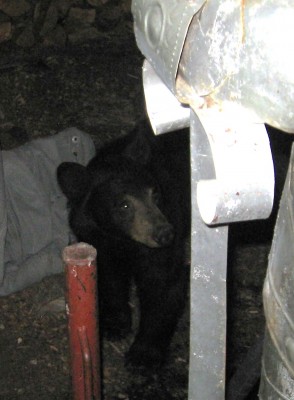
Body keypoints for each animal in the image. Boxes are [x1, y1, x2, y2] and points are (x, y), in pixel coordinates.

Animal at [57, 120, 191, 368]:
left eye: (155, 194)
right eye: (124, 205)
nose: (164, 234)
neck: (122, 239)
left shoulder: (168, 227)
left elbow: (163, 282)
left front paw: (143, 355)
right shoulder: (95, 238)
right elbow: (109, 277)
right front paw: (114, 324)